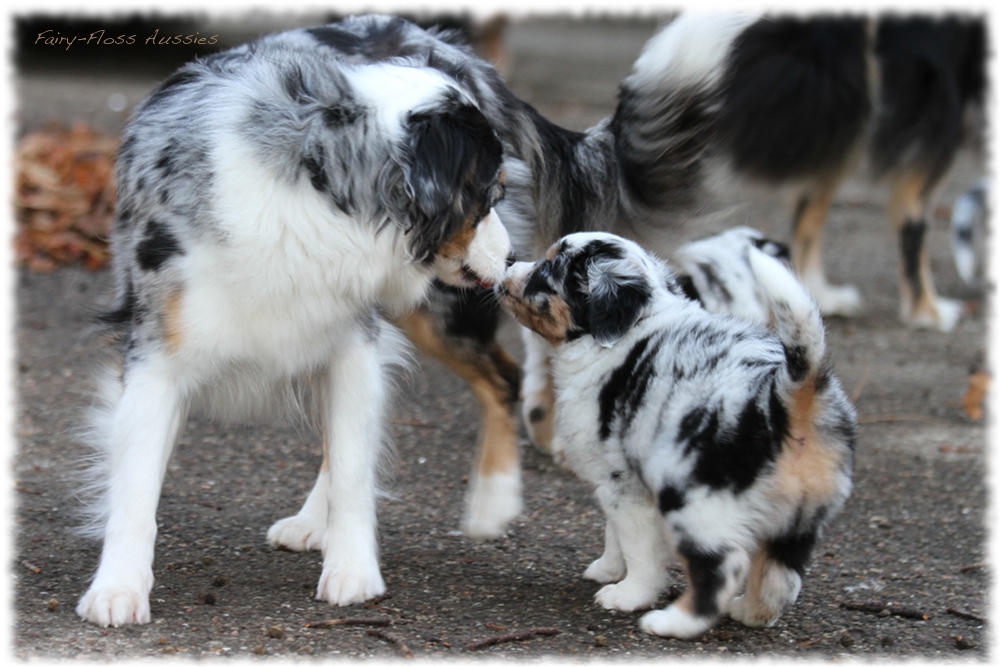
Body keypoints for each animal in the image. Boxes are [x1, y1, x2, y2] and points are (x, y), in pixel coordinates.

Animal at [76, 17, 516, 632]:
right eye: (488, 193)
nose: (513, 258)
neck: (316, 181)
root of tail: (420, 30)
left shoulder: (354, 342)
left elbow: (354, 466)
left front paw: (353, 573)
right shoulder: (156, 355)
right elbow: (136, 483)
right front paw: (118, 588)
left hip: (436, 315)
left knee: (502, 381)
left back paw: (491, 503)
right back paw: (313, 523)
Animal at [492, 232, 852, 640]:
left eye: (548, 270)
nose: (508, 264)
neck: (634, 326)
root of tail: (786, 396)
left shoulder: (622, 485)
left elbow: (636, 547)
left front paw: (627, 593)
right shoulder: (622, 484)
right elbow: (615, 534)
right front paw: (608, 570)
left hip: (696, 505)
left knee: (724, 568)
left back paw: (670, 622)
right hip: (798, 519)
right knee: (780, 579)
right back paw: (750, 611)